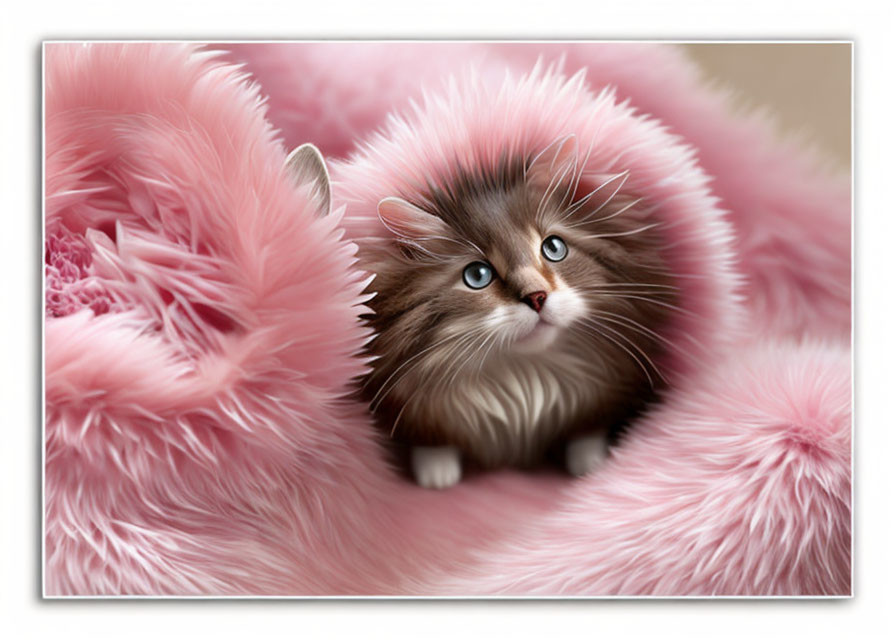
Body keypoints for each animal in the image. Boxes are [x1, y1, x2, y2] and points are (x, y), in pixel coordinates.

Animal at [344, 132, 680, 488]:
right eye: (477, 275)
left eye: (554, 247)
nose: (537, 297)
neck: (526, 376)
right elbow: (431, 441)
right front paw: (437, 475)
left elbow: (587, 431)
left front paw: (589, 464)